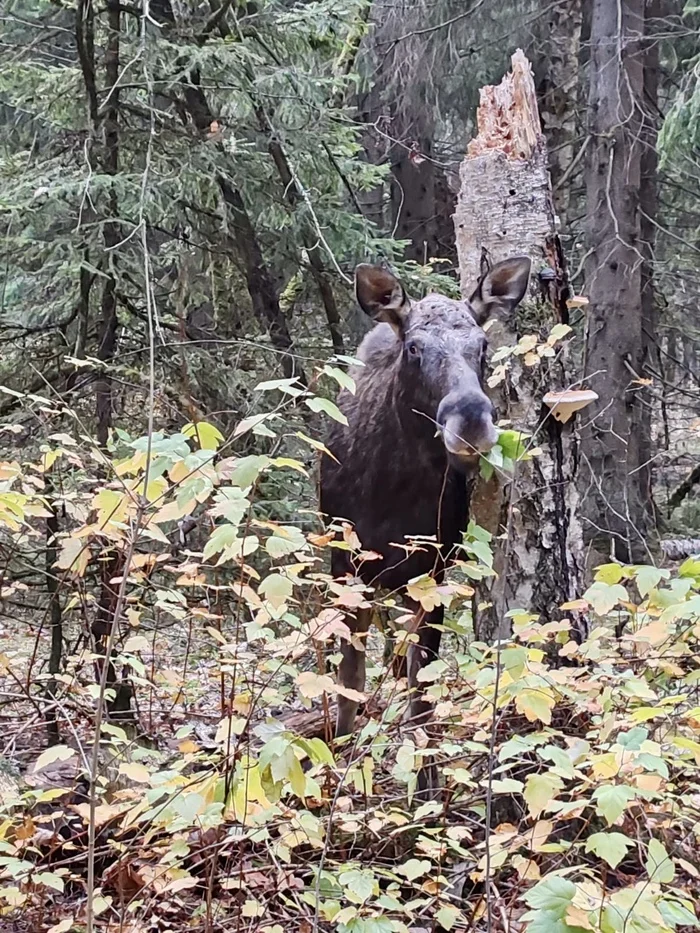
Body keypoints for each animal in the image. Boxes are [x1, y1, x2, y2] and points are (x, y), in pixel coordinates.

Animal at [318, 255, 532, 780]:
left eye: (482, 345)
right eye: (414, 346)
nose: (471, 418)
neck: (393, 492)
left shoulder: (433, 570)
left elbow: (423, 695)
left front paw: (427, 785)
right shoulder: (346, 563)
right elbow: (349, 681)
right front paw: (341, 770)